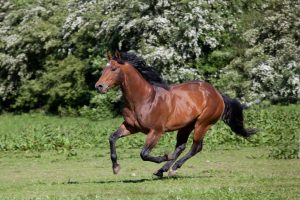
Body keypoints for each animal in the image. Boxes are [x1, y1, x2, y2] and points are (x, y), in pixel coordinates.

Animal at [94, 51, 255, 177]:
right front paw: (116, 168)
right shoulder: (130, 127)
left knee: (195, 147)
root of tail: (217, 94)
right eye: (104, 69)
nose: (99, 86)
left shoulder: (156, 131)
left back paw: (173, 168)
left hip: (202, 124)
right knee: (181, 146)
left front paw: (164, 156)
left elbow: (144, 154)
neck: (144, 99)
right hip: (186, 126)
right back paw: (162, 170)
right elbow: (112, 138)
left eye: (114, 69)